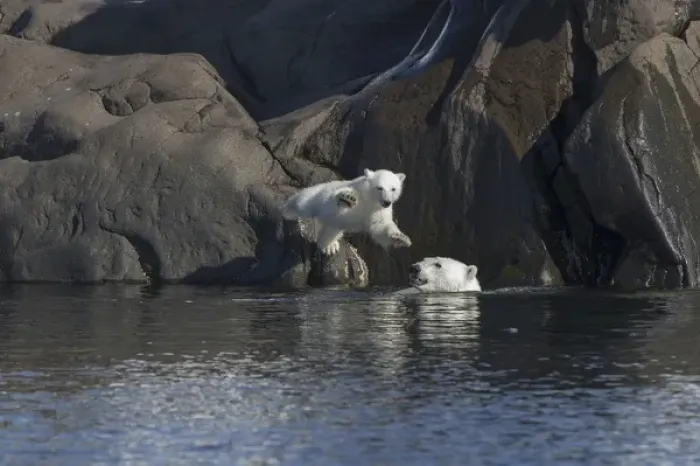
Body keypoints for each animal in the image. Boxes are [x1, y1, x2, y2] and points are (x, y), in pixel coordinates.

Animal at [280, 168, 412, 255]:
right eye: (380, 188)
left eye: (393, 189)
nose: (387, 202)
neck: (369, 199)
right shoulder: (355, 192)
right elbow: (338, 202)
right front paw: (348, 197)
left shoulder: (377, 210)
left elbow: (380, 227)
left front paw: (401, 238)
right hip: (315, 196)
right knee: (302, 202)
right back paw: (287, 210)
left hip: (332, 224)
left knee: (330, 231)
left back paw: (329, 246)